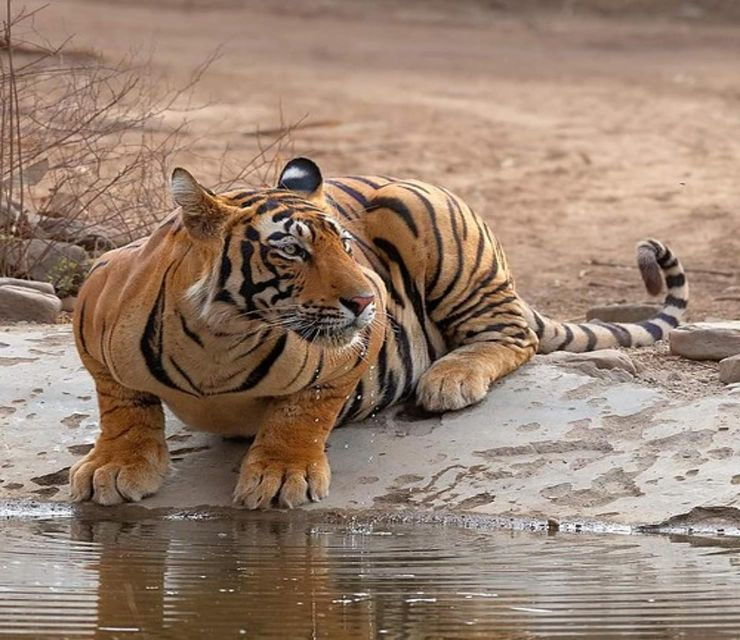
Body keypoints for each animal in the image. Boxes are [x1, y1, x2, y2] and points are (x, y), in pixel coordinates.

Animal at [70, 157, 688, 509]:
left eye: (345, 245)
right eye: (290, 250)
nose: (366, 301)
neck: (219, 338)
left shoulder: (347, 358)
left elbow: (303, 411)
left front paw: (280, 476)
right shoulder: (93, 311)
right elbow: (122, 403)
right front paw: (115, 467)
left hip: (430, 227)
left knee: (514, 334)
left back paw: (449, 380)